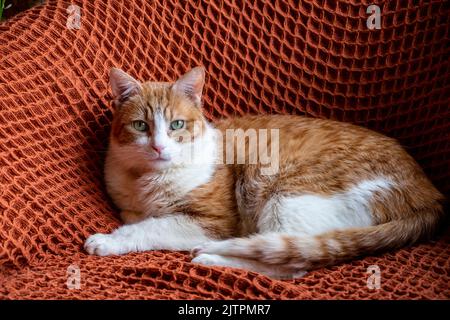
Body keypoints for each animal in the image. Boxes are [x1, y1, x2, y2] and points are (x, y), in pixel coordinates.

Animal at [83, 66, 442, 278]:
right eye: (141, 126)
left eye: (177, 125)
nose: (158, 147)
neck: (147, 181)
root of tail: (428, 193)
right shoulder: (130, 208)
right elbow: (139, 220)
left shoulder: (213, 222)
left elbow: (149, 228)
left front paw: (108, 241)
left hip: (284, 191)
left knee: (292, 262)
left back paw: (210, 257)